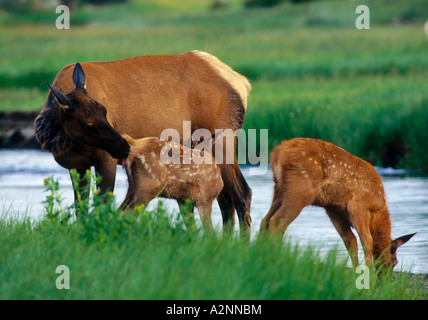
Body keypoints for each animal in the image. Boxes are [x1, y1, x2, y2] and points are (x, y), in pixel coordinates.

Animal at [36, 51, 254, 236]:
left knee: (241, 193)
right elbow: (80, 209)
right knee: (225, 199)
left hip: (221, 140)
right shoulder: (78, 165)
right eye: (89, 124)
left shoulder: (104, 158)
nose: (123, 145)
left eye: (105, 111)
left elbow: (103, 203)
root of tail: (243, 84)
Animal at [260, 138, 416, 272]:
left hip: (279, 189)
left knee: (265, 220)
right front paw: (368, 272)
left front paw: (356, 270)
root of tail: (278, 152)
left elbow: (350, 240)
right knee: (277, 221)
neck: (377, 210)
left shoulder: (333, 208)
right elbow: (367, 240)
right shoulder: (359, 206)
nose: (385, 279)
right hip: (300, 189)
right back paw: (275, 257)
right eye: (394, 261)